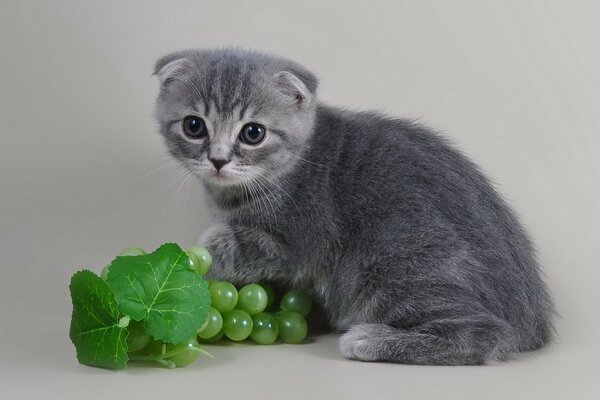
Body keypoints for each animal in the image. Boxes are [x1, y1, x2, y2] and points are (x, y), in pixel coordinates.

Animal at [152, 48, 556, 364]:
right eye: (194, 126)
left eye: (253, 133)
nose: (218, 160)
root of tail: (532, 322)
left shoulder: (297, 244)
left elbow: (225, 242)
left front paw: (196, 257)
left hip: (391, 263)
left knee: (484, 333)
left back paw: (369, 340)